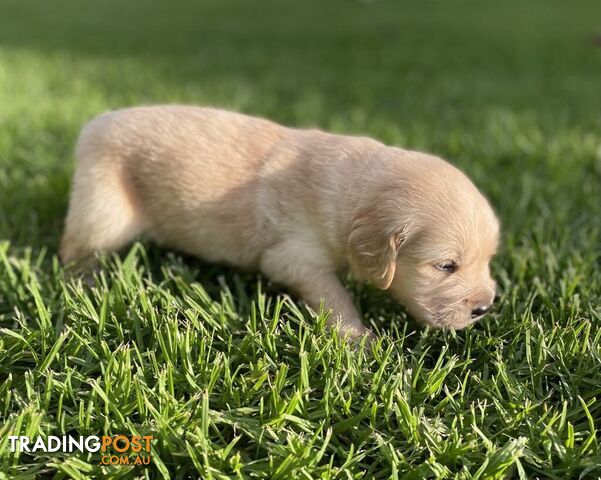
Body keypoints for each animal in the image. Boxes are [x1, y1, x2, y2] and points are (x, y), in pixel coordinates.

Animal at [61, 106, 500, 338]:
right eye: (445, 266)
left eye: (488, 261)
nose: (484, 308)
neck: (352, 189)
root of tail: (95, 123)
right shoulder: (293, 258)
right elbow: (334, 296)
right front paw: (359, 340)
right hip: (103, 209)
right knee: (75, 248)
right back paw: (86, 284)